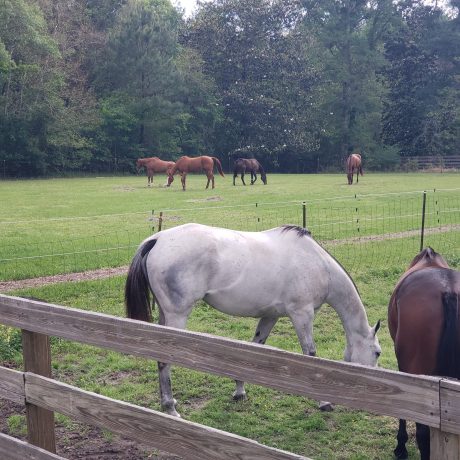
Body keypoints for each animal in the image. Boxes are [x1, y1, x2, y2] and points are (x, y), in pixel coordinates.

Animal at [125, 223, 380, 416]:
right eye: (378, 353)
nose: (371, 391)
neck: (318, 264)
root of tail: (157, 239)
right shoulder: (302, 314)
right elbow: (310, 354)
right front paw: (324, 402)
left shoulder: (270, 316)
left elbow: (255, 347)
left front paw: (239, 391)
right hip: (177, 316)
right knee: (164, 360)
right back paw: (170, 409)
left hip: (165, 315)